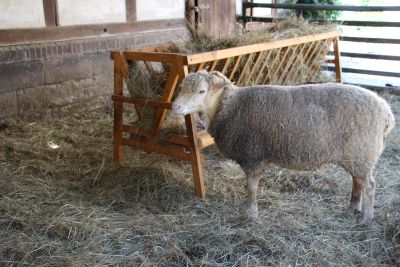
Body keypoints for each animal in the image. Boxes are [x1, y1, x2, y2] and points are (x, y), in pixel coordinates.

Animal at [172, 70, 394, 225]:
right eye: (181, 88)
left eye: (202, 91)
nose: (175, 107)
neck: (231, 107)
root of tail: (386, 112)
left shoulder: (253, 155)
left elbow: (251, 187)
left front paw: (250, 212)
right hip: (356, 156)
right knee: (358, 182)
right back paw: (351, 210)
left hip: (362, 152)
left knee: (369, 185)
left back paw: (366, 218)